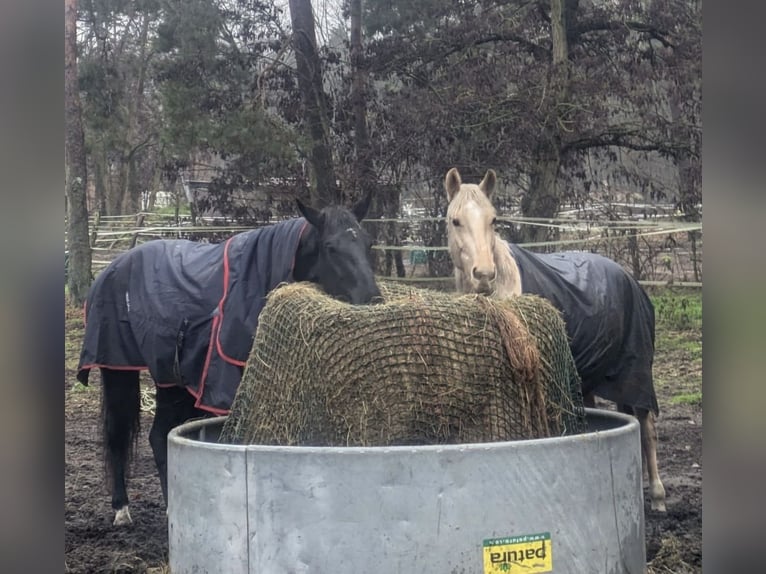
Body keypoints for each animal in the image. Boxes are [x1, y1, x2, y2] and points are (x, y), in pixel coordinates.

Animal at [76, 196, 381, 526]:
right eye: (330, 247)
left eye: (367, 243)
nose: (373, 299)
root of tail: (112, 268)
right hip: (120, 371)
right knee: (120, 437)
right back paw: (122, 509)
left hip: (172, 380)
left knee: (158, 436)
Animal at [444, 167, 667, 512]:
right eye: (456, 221)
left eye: (493, 220)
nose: (484, 275)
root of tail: (628, 277)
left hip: (637, 371)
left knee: (647, 426)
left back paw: (657, 496)